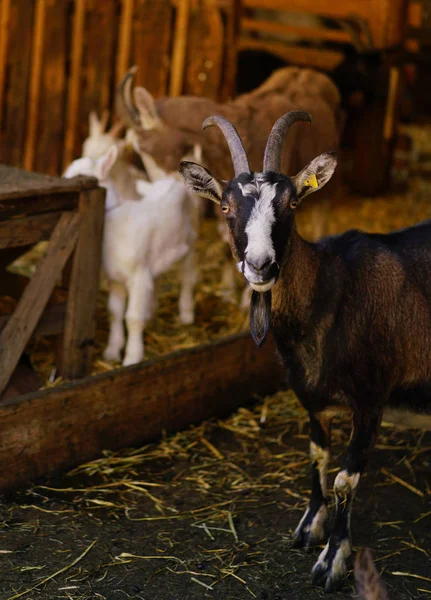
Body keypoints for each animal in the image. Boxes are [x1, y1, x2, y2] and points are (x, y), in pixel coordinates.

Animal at [63, 148, 198, 368]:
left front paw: (132, 357)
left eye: (80, 177)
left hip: (191, 242)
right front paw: (112, 351)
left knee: (187, 278)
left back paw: (186, 314)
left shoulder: (138, 276)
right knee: (157, 277)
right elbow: (115, 312)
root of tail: (171, 181)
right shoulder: (116, 278)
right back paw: (152, 311)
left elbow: (132, 318)